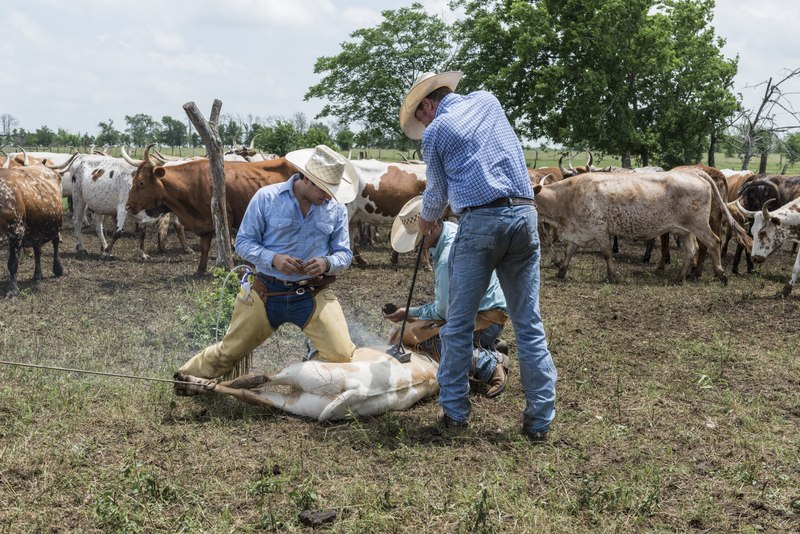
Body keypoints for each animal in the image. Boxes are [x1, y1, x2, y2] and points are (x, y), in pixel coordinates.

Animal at [0, 164, 64, 298]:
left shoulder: (16, 232)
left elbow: (12, 264)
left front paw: (13, 290)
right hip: (36, 228)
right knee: (37, 250)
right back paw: (37, 274)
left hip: (56, 224)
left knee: (55, 243)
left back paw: (58, 269)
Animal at [126, 146, 296, 276]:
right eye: (133, 181)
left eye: (141, 183)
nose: (128, 206)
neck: (191, 183)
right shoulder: (204, 223)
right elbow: (204, 248)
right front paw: (200, 270)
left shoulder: (225, 218)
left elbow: (226, 243)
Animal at [532, 171, 752, 284]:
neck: (567, 197)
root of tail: (695, 173)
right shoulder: (579, 231)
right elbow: (569, 252)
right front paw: (561, 271)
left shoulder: (600, 229)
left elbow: (606, 253)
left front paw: (611, 276)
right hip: (685, 229)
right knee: (692, 250)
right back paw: (679, 277)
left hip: (699, 224)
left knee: (714, 242)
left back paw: (720, 273)